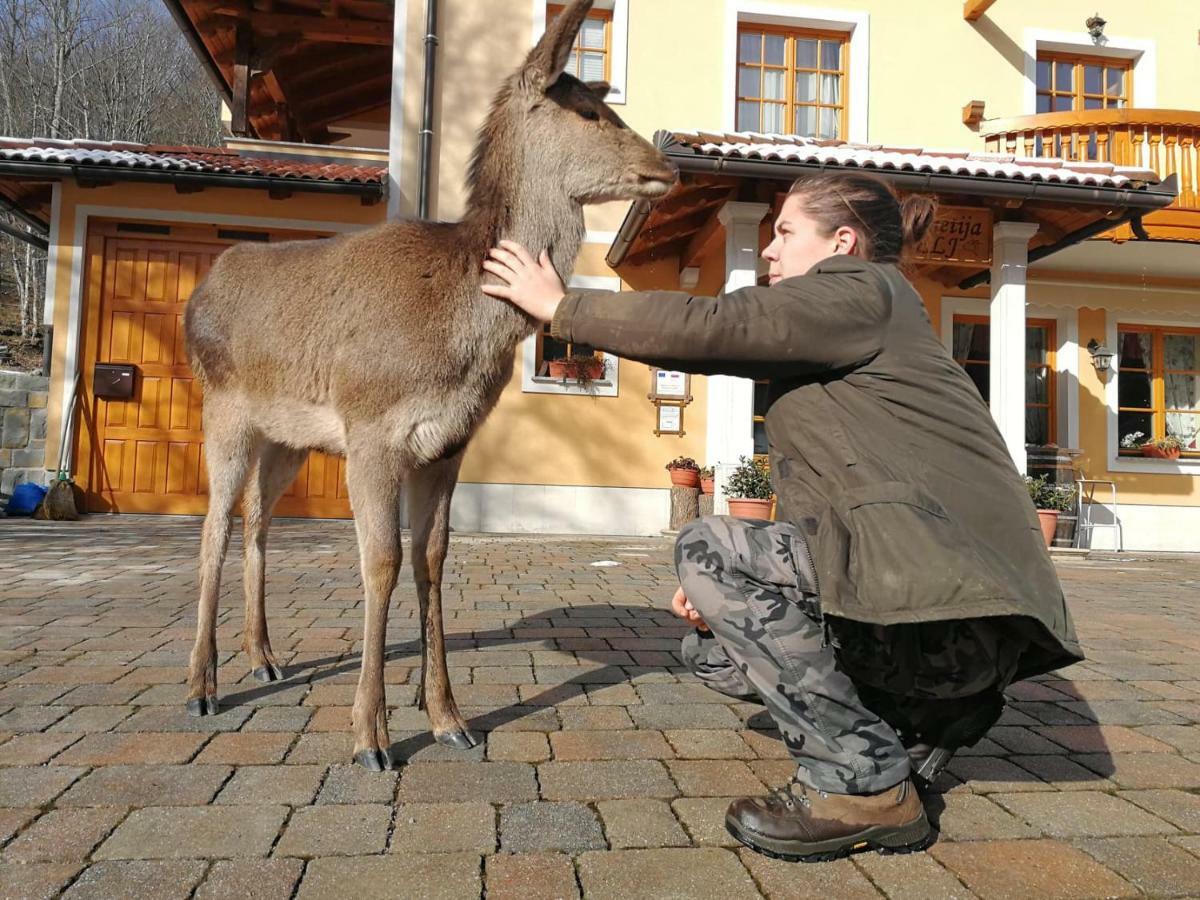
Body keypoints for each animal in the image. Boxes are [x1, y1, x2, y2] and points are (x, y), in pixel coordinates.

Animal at [182, 0, 681, 777]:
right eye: (590, 111)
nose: (667, 166)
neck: (458, 329)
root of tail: (196, 298)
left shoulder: (449, 444)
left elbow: (433, 562)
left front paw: (449, 718)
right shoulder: (371, 432)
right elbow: (381, 564)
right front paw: (372, 737)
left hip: (286, 437)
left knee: (258, 520)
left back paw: (264, 658)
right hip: (224, 409)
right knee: (214, 526)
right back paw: (203, 686)